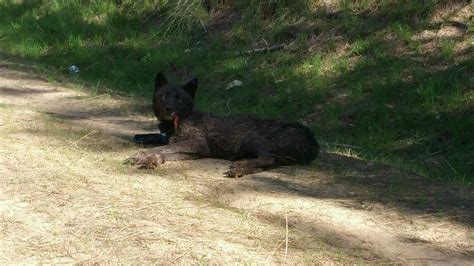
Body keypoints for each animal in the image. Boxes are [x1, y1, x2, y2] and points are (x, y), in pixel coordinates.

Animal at [127, 72, 318, 177]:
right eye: (164, 96)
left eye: (179, 98)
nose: (170, 109)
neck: (181, 119)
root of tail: (312, 139)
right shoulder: (196, 151)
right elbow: (165, 151)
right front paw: (153, 159)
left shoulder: (198, 143)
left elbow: (162, 148)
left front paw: (141, 155)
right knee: (268, 163)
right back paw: (240, 169)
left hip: (253, 139)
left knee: (267, 159)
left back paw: (240, 166)